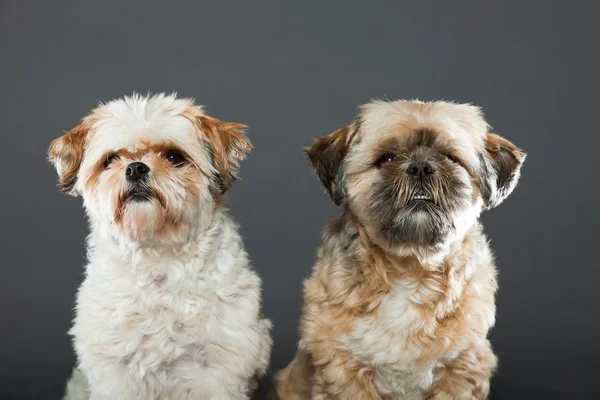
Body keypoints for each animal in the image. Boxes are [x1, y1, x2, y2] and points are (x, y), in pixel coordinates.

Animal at [49, 94, 274, 400]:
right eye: (111, 159)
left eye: (174, 157)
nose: (135, 168)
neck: (158, 259)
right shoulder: (116, 371)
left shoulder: (218, 366)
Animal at [274, 100, 524, 400]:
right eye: (388, 158)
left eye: (450, 157)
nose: (421, 167)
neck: (410, 267)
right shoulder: (341, 368)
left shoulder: (463, 366)